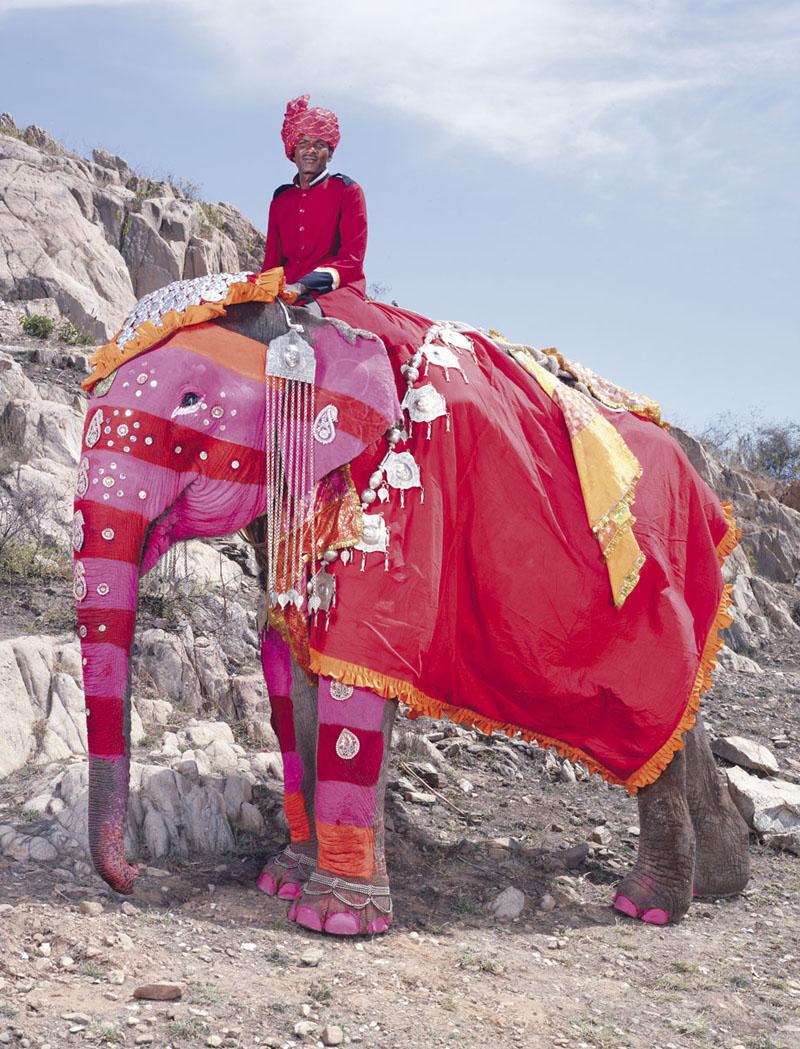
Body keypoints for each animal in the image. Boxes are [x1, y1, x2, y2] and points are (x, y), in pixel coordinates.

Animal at [73, 281, 751, 936]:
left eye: (189, 400)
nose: (137, 878)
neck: (305, 313)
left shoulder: (412, 497)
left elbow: (360, 653)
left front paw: (334, 919)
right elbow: (292, 662)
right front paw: (282, 880)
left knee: (651, 705)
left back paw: (649, 906)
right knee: (678, 717)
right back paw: (719, 883)